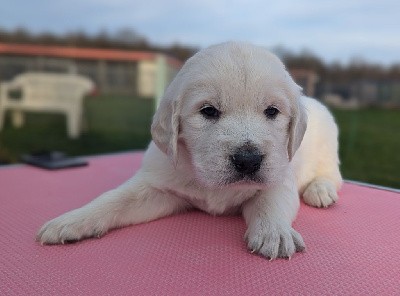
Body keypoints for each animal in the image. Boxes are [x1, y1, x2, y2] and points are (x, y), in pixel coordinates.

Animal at [37, 41, 342, 260]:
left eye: (272, 111)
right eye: (208, 111)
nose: (248, 160)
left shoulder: (278, 177)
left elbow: (271, 202)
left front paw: (275, 233)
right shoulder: (158, 187)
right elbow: (114, 199)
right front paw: (73, 220)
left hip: (328, 146)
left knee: (332, 176)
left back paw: (320, 190)